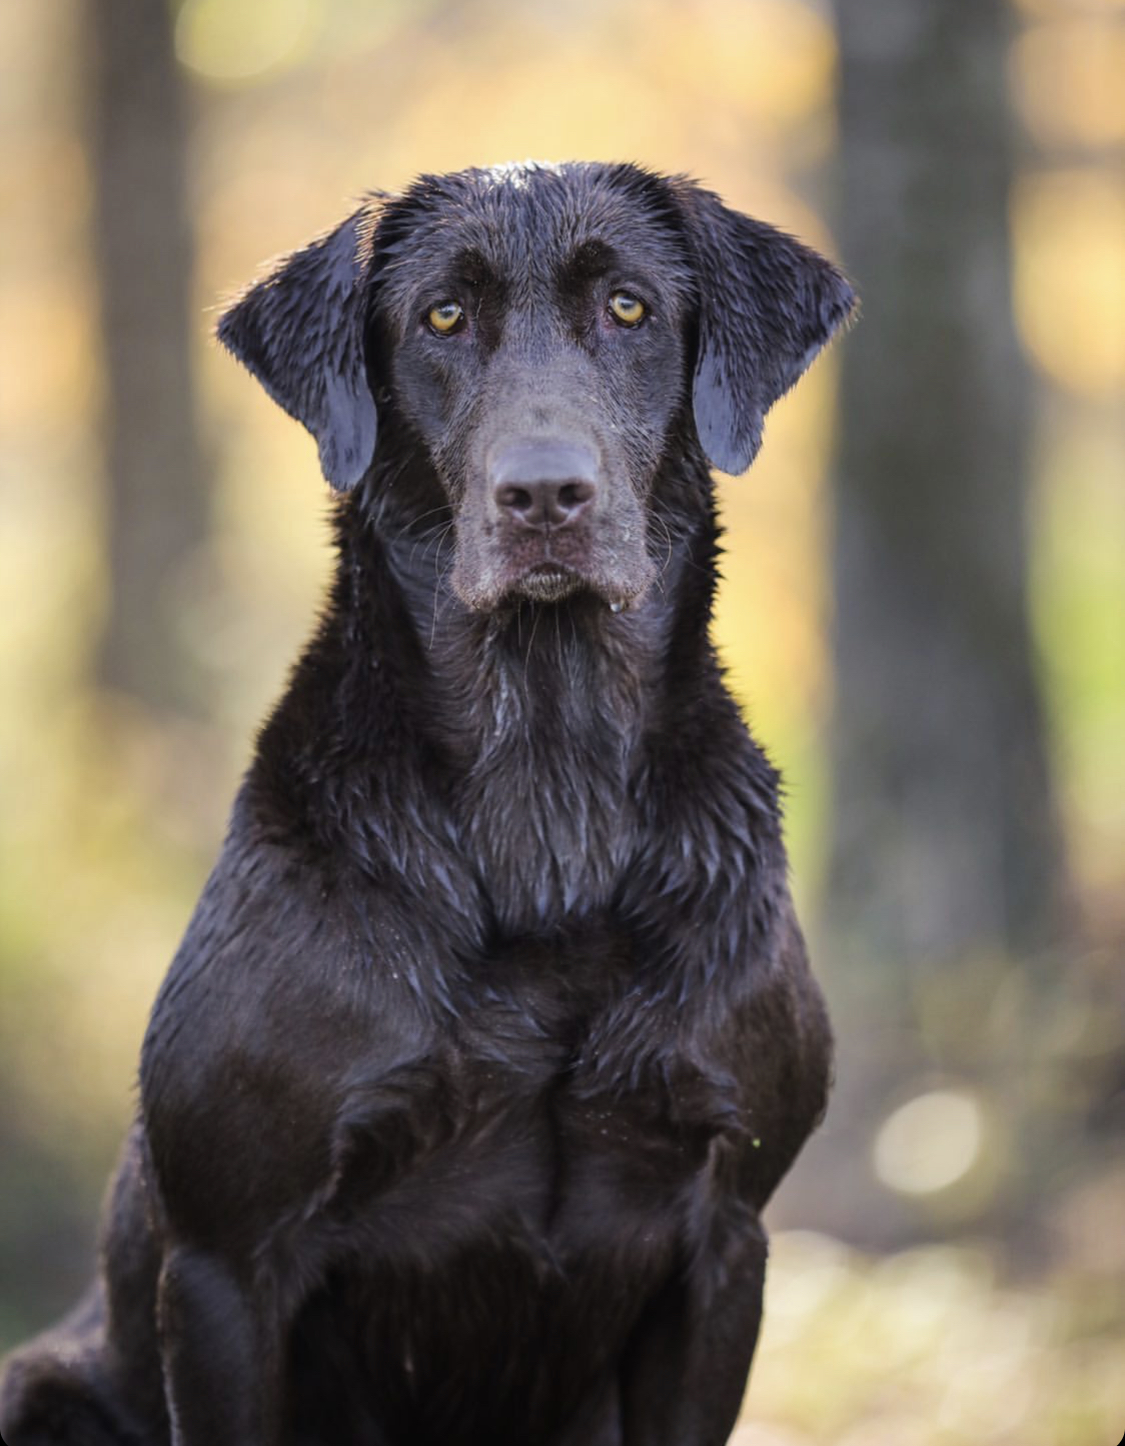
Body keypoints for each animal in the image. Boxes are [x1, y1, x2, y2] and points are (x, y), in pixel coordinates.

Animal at [2, 161, 850, 1446]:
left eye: (631, 308)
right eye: (442, 317)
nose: (543, 495)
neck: (546, 796)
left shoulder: (726, 1242)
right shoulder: (222, 1263)